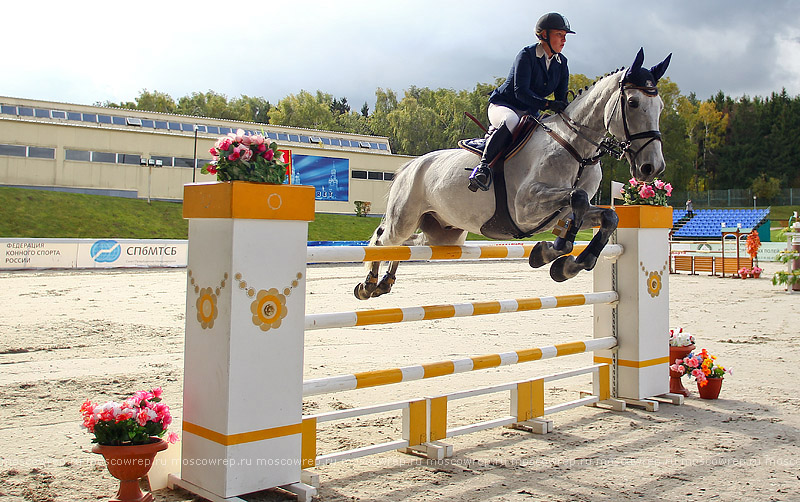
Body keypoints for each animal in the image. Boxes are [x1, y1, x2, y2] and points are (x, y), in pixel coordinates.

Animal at [354, 48, 668, 298]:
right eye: (633, 103)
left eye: (661, 106)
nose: (652, 168)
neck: (575, 148)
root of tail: (410, 165)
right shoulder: (525, 208)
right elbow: (576, 200)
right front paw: (550, 252)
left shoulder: (565, 211)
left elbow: (608, 217)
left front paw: (567, 265)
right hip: (405, 217)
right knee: (383, 240)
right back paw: (368, 285)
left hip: (445, 233)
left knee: (405, 244)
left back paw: (385, 282)